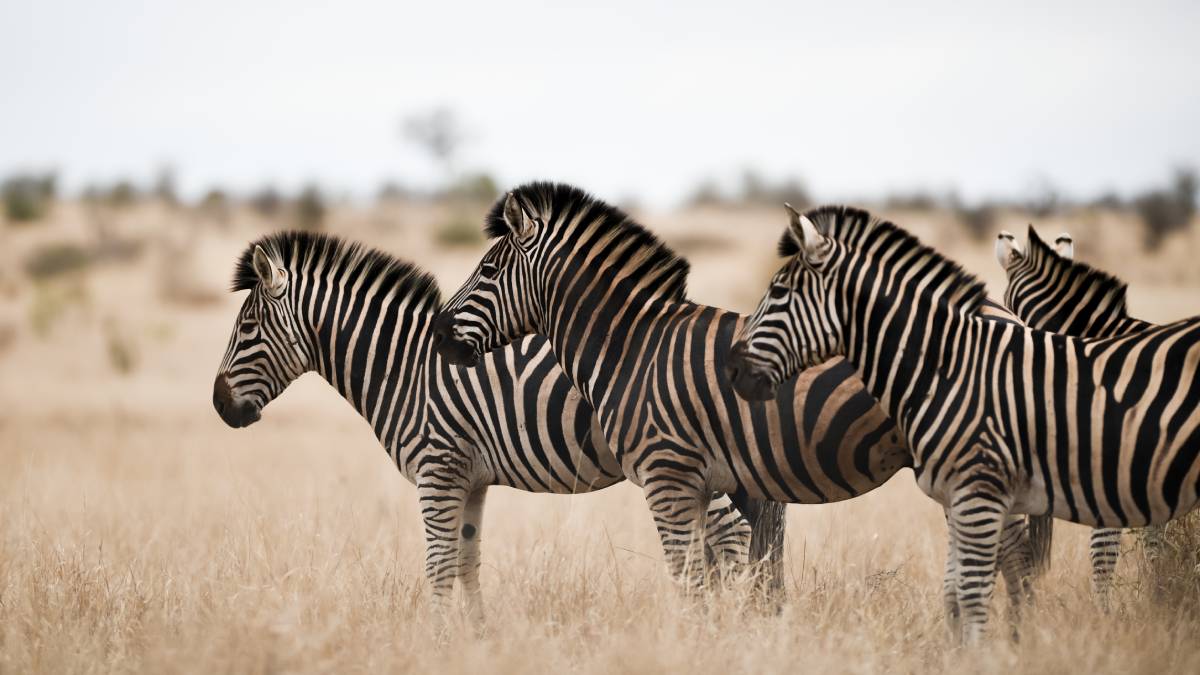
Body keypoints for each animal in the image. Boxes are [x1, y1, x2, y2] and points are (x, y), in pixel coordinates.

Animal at [212, 231, 782, 623]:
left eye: (247, 327)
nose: (219, 405)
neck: (404, 369)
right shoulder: (471, 480)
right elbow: (467, 560)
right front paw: (476, 639)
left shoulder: (437, 470)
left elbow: (440, 564)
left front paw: (439, 641)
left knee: (730, 536)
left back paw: (727, 623)